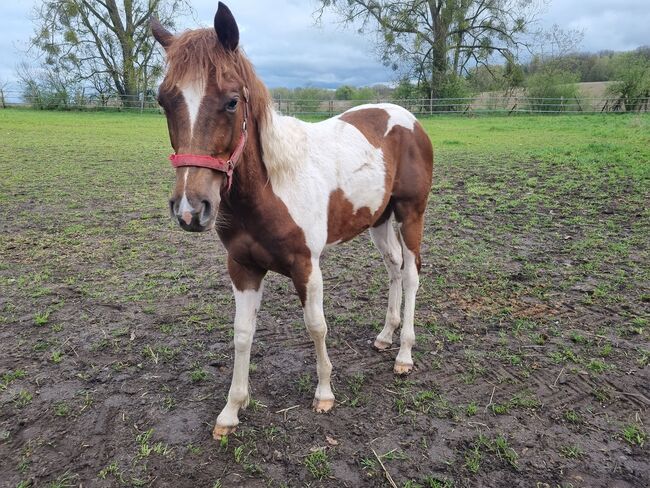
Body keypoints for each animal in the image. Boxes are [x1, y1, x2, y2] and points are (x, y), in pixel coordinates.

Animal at [151, 1, 430, 440]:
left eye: (232, 102)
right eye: (164, 100)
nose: (191, 209)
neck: (270, 189)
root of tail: (407, 118)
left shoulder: (306, 267)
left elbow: (316, 326)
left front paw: (324, 393)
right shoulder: (243, 268)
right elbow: (242, 334)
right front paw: (232, 410)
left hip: (410, 214)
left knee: (413, 273)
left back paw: (404, 353)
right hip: (379, 221)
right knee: (395, 268)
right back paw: (386, 336)